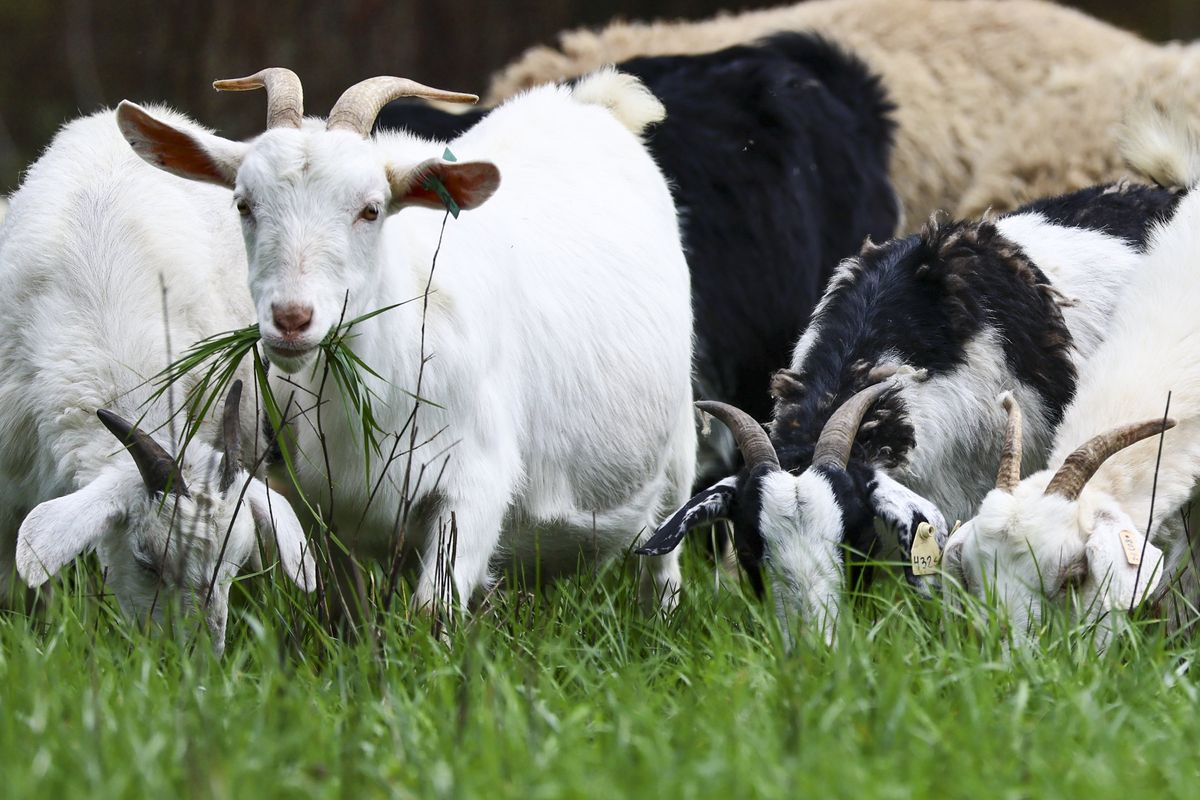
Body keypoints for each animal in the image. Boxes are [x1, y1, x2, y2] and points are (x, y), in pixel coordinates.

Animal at [117, 68, 696, 614]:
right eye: (243, 204)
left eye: (371, 209)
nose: (291, 319)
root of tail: (595, 104)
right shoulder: (314, 503)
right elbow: (346, 608)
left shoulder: (474, 483)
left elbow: (430, 610)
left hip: (677, 458)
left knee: (663, 557)